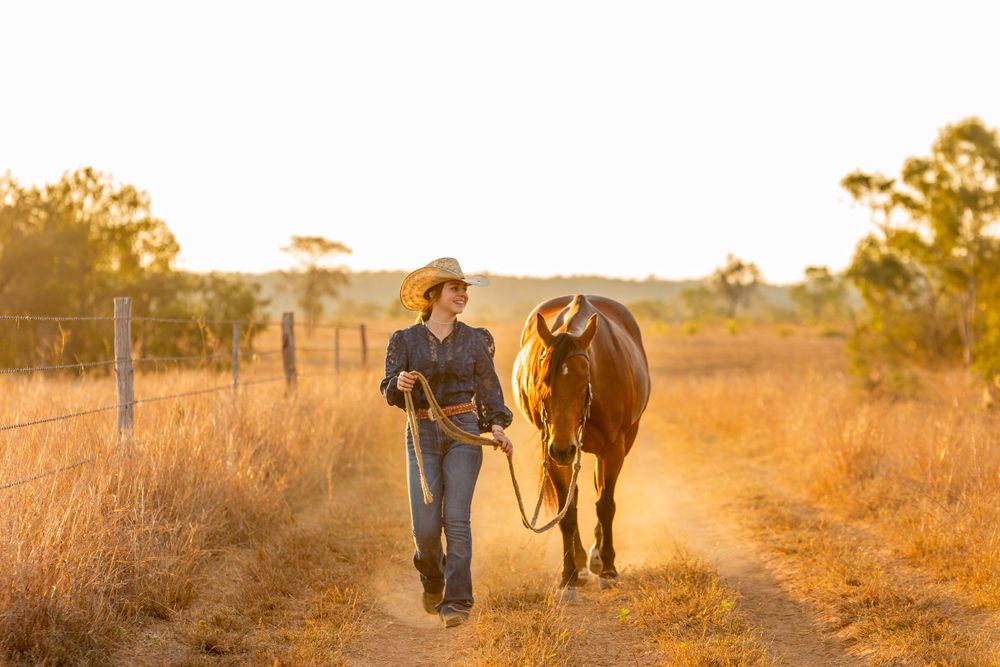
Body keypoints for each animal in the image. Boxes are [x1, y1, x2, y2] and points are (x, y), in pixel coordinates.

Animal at [512, 294, 650, 591]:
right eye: (541, 380)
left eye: (585, 379)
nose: (564, 448)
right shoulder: (551, 451)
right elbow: (567, 512)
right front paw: (569, 574)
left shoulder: (613, 448)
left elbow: (605, 505)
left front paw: (608, 567)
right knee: (572, 499)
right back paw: (580, 559)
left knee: (600, 491)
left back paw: (596, 558)